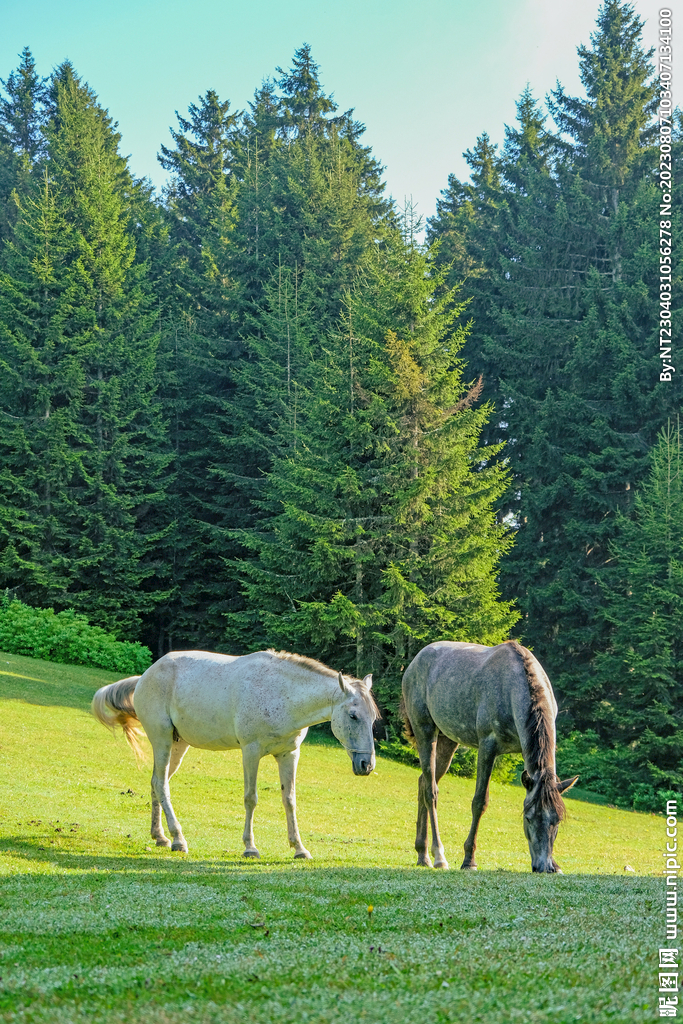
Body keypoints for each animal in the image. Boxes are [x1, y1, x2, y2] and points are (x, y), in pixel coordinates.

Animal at [92, 649, 378, 858]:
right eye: (353, 715)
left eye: (373, 718)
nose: (367, 765)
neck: (281, 694)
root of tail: (145, 676)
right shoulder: (251, 752)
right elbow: (251, 798)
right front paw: (250, 848)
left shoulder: (289, 754)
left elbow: (290, 800)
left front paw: (299, 849)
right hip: (161, 740)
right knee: (161, 784)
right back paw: (178, 840)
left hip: (177, 745)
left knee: (156, 783)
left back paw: (161, 837)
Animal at [401, 640, 578, 873]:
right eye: (528, 818)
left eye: (556, 821)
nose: (544, 866)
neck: (511, 686)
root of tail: (415, 662)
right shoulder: (488, 746)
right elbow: (479, 802)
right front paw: (469, 860)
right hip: (425, 731)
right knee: (431, 791)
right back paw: (438, 856)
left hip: (448, 740)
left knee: (423, 782)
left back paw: (422, 854)